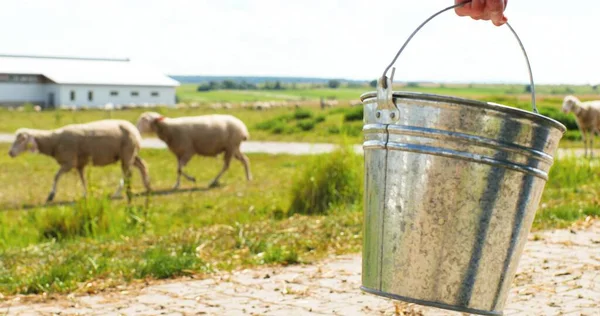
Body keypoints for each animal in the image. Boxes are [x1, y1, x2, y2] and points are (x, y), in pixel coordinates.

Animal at [8, 118, 151, 202]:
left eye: (22, 139)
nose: (10, 153)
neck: (53, 141)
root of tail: (135, 130)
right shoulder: (79, 164)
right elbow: (83, 179)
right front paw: (85, 194)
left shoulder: (69, 162)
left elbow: (56, 176)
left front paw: (51, 195)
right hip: (130, 154)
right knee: (142, 165)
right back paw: (146, 186)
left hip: (127, 153)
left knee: (128, 173)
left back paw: (120, 193)